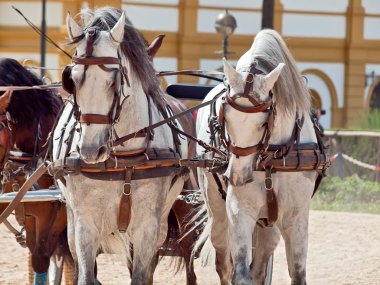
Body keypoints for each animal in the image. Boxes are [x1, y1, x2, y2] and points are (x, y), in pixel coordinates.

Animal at [52, 7, 191, 284]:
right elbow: (86, 275)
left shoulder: (147, 227)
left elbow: (140, 274)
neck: (124, 160)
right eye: (72, 79)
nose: (90, 150)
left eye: (114, 81)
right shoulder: (85, 224)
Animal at [196, 29, 326, 284]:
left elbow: (297, 274)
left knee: (259, 265)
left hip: (270, 225)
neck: (272, 158)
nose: (236, 176)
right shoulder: (239, 210)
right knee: (224, 262)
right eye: (224, 116)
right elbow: (240, 273)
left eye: (265, 122)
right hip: (218, 214)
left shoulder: (295, 218)